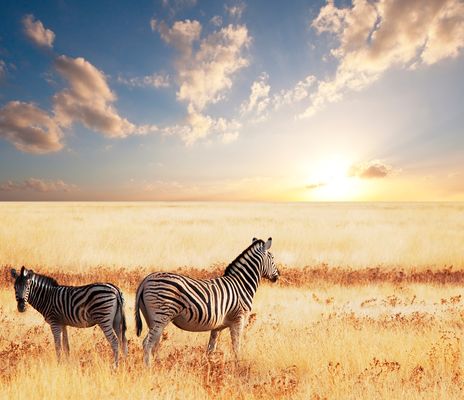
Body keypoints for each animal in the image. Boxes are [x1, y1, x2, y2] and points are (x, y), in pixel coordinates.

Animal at [134, 238, 280, 366]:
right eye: (272, 258)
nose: (278, 276)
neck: (241, 284)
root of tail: (146, 279)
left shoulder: (217, 326)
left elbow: (211, 349)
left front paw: (209, 367)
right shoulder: (239, 319)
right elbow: (236, 346)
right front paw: (238, 366)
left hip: (151, 319)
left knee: (153, 344)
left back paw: (156, 366)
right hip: (161, 316)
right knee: (147, 343)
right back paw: (149, 369)